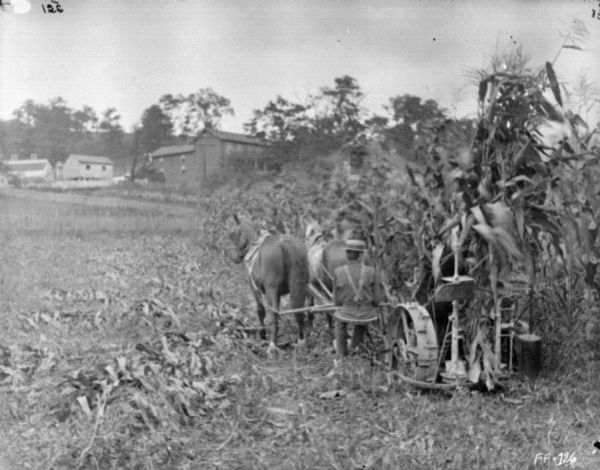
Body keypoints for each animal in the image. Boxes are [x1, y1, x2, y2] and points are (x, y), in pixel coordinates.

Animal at [231, 215, 310, 354]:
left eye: (234, 234)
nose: (235, 257)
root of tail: (286, 244)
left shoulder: (254, 287)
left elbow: (260, 310)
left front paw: (263, 335)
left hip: (271, 290)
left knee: (274, 315)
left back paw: (272, 345)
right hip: (300, 287)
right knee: (300, 310)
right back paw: (301, 340)